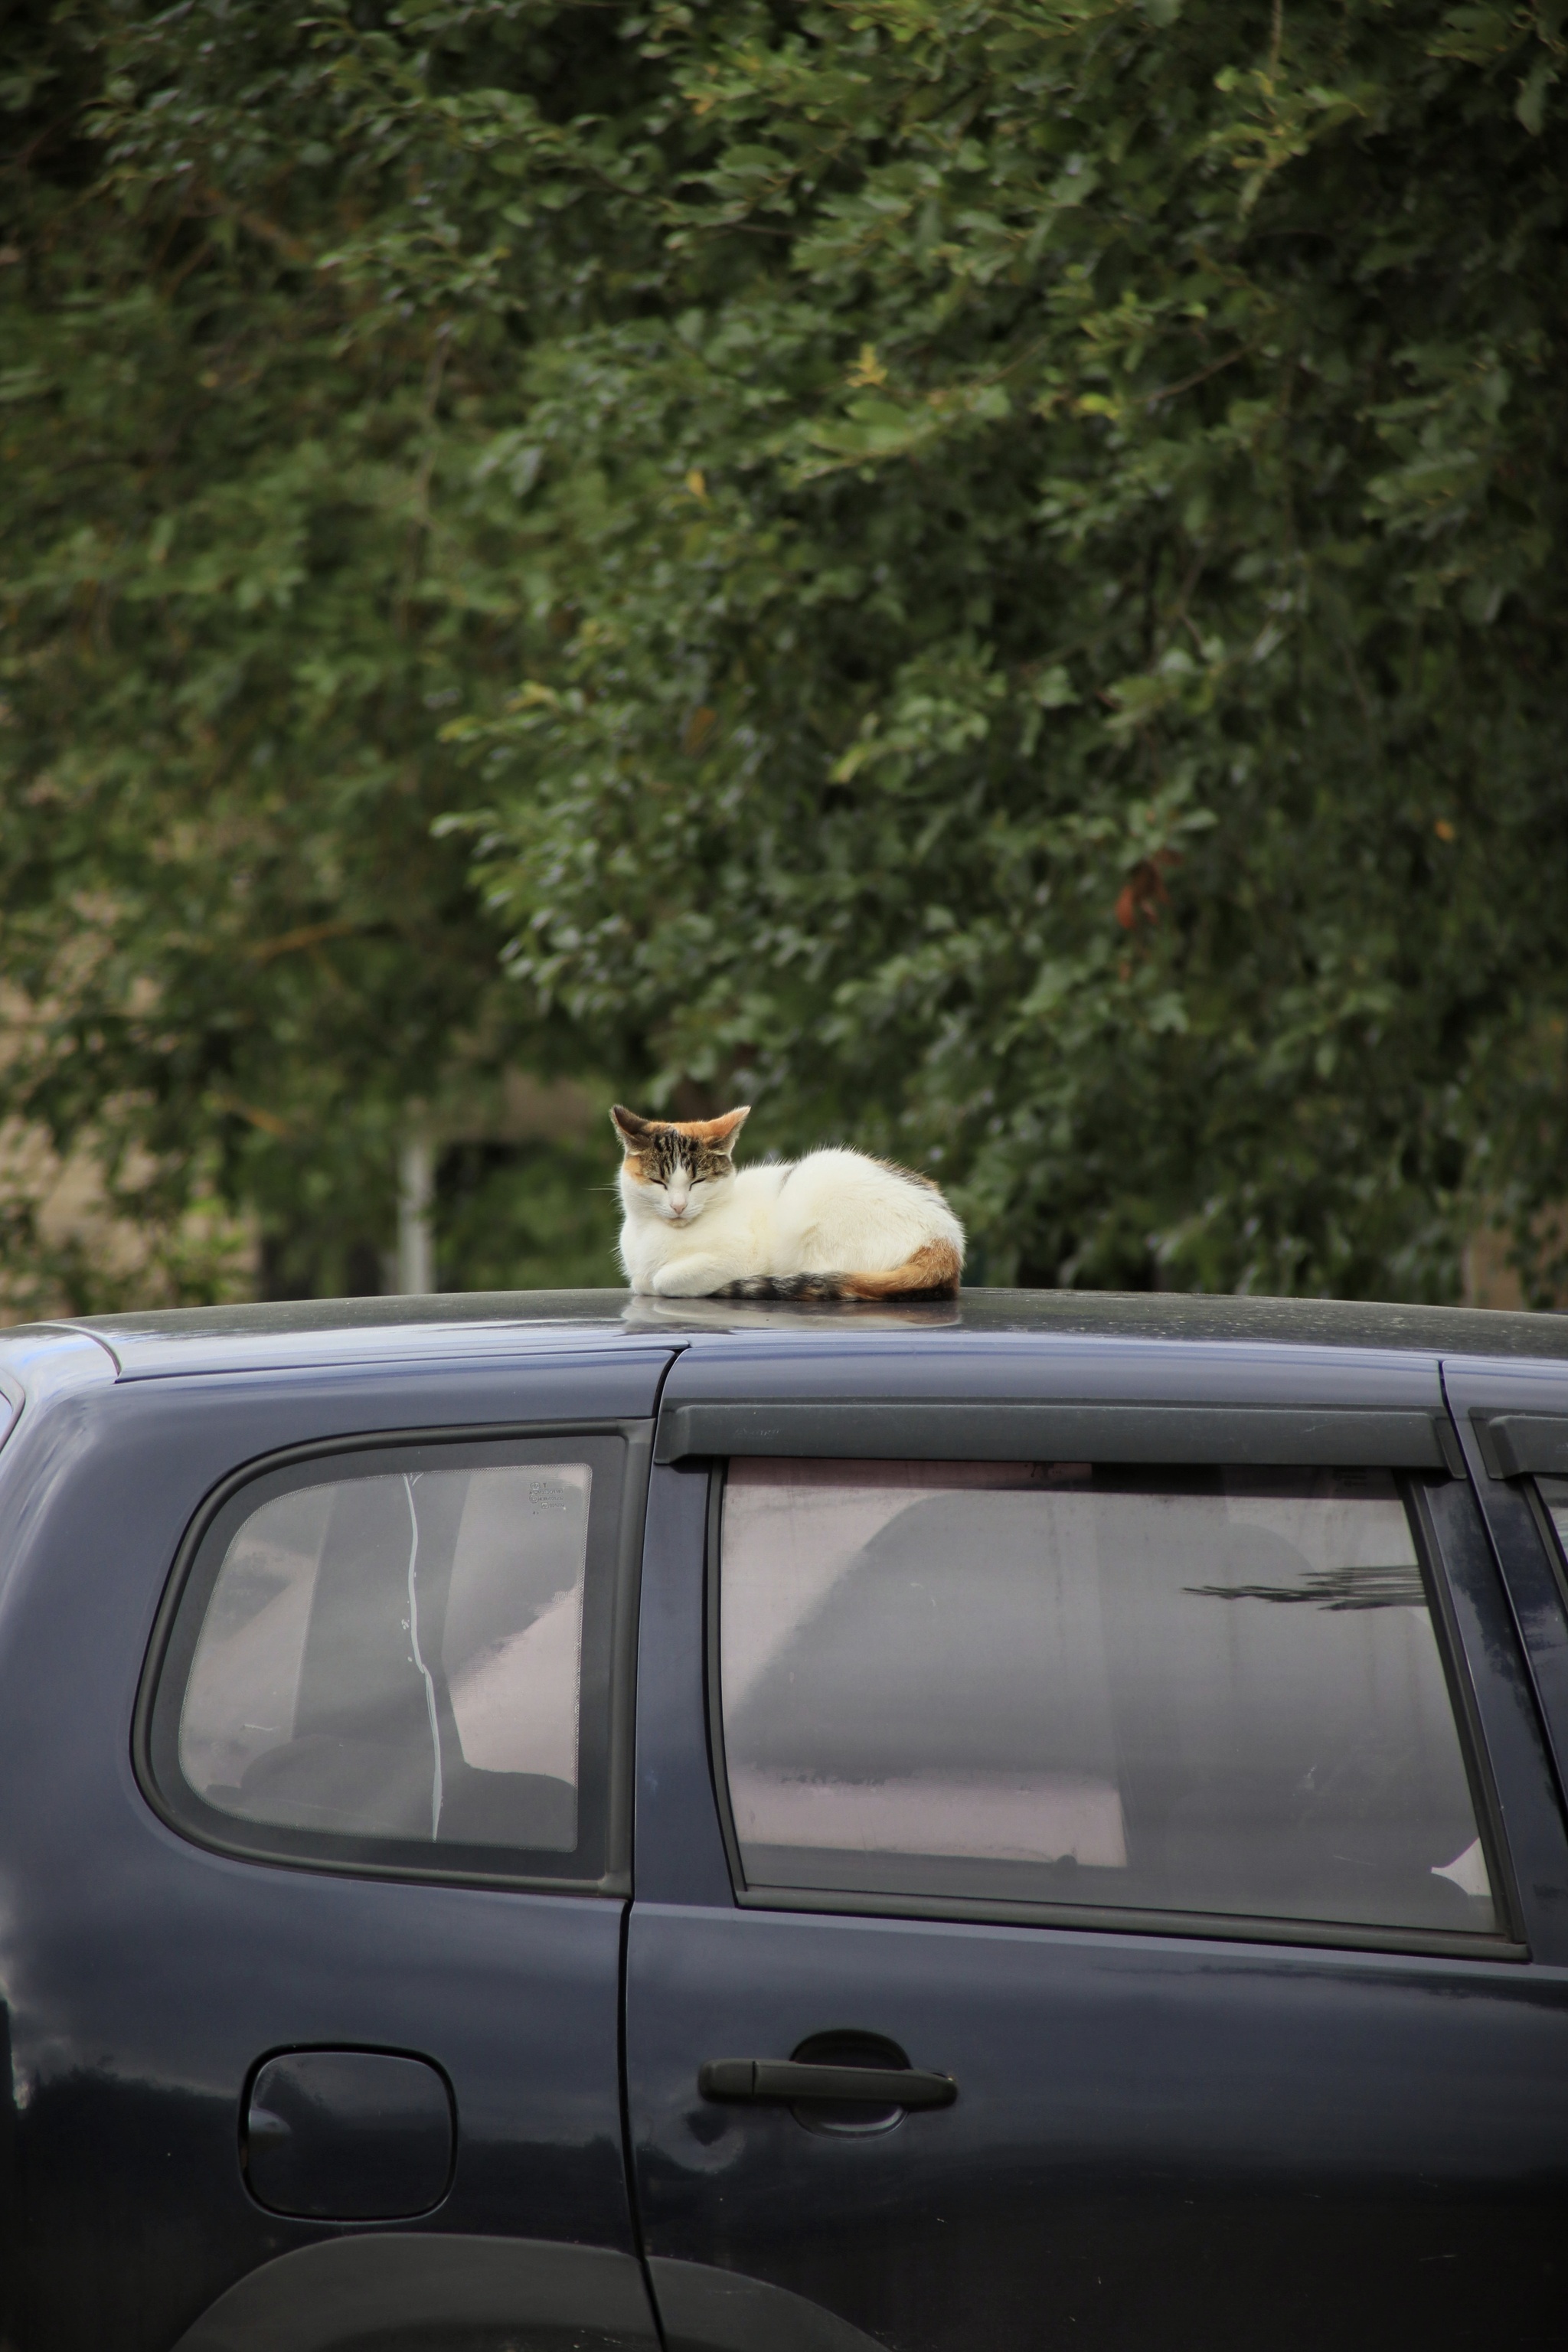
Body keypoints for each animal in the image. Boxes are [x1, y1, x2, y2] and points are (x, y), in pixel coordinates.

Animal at [606, 1105, 963, 1308]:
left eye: (698, 1182)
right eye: (659, 1182)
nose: (679, 1206)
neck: (652, 1233)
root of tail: (946, 1237)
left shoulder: (742, 1257)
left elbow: (662, 1280)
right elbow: (642, 1281)